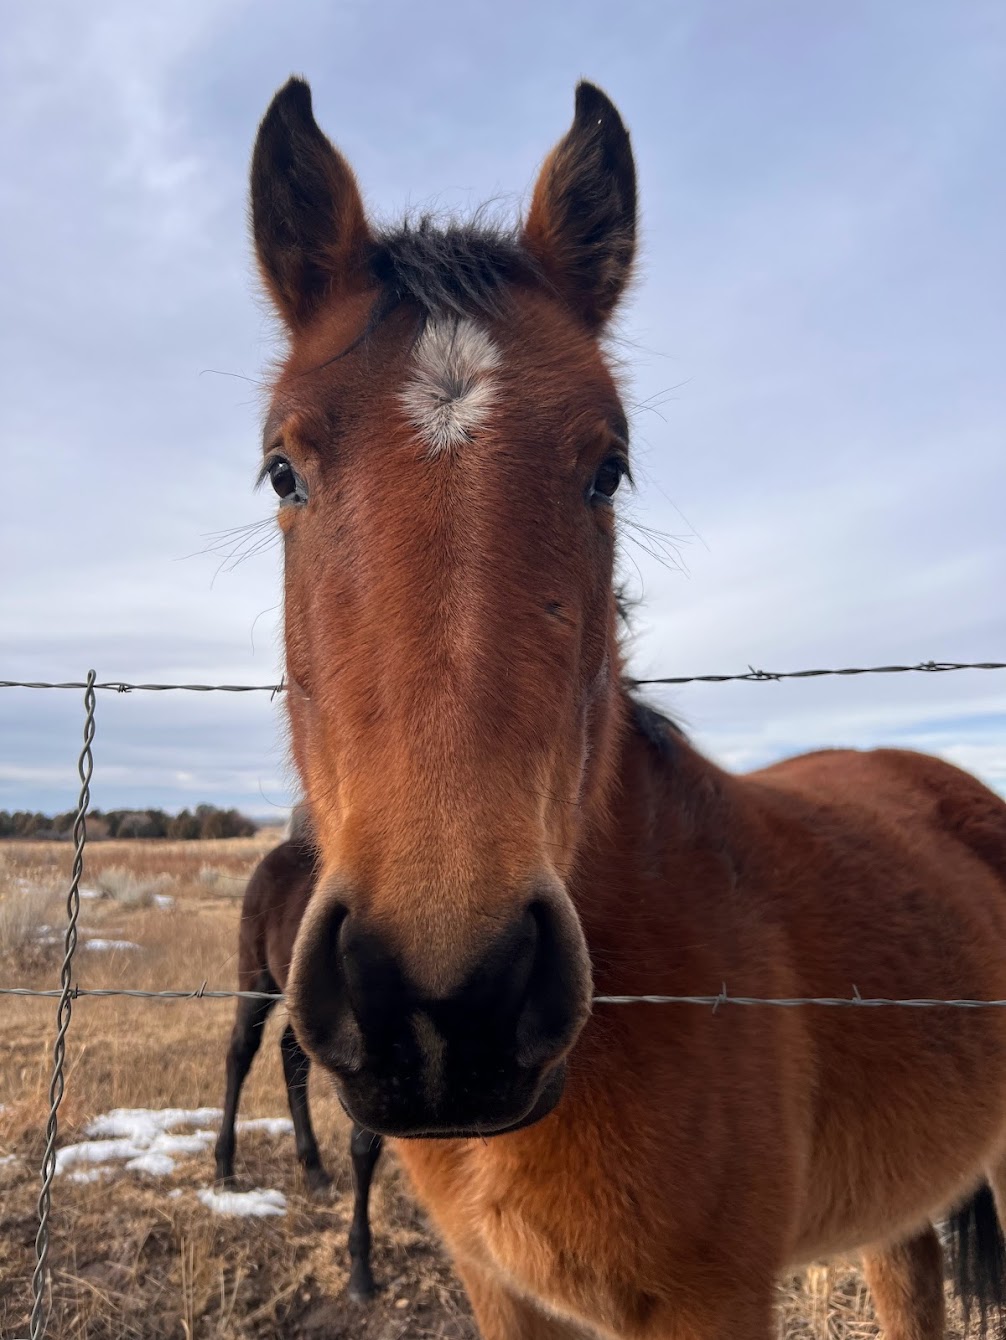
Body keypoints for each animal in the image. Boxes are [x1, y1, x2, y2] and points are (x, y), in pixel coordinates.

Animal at [214, 809, 383, 1302]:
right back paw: (224, 1168)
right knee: (240, 1053)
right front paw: (360, 1273)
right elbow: (364, 1147)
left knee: (291, 1053)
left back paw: (314, 1169)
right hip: (255, 977)